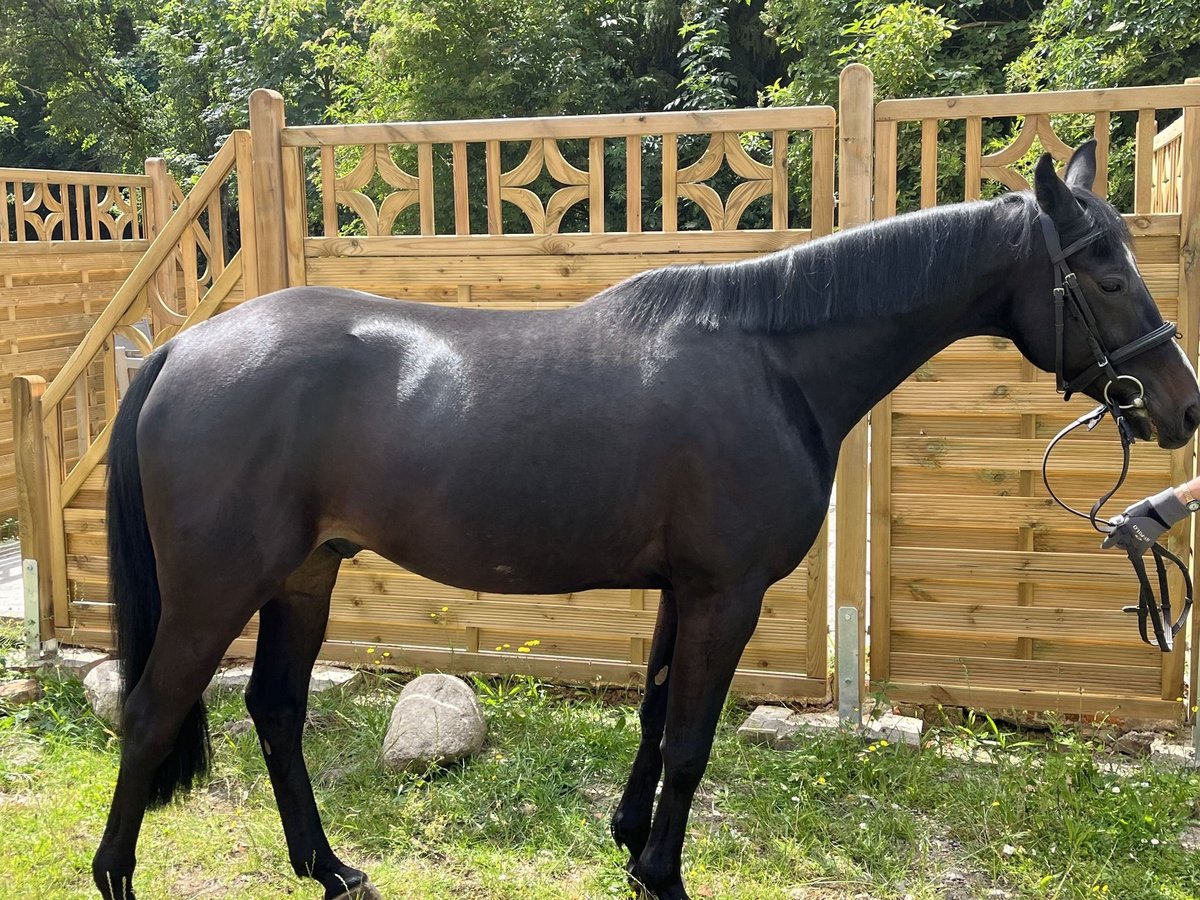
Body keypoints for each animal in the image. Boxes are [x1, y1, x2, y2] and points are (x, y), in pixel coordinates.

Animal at [91, 141, 1200, 900]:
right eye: (1106, 275)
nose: (1181, 408)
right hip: (218, 588)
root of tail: (183, 349)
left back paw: (329, 868)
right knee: (150, 714)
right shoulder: (727, 592)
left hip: (304, 575)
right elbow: (692, 742)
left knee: (276, 712)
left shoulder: (684, 589)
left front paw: (630, 843)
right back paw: (120, 873)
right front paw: (664, 874)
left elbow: (658, 714)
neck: (771, 363)